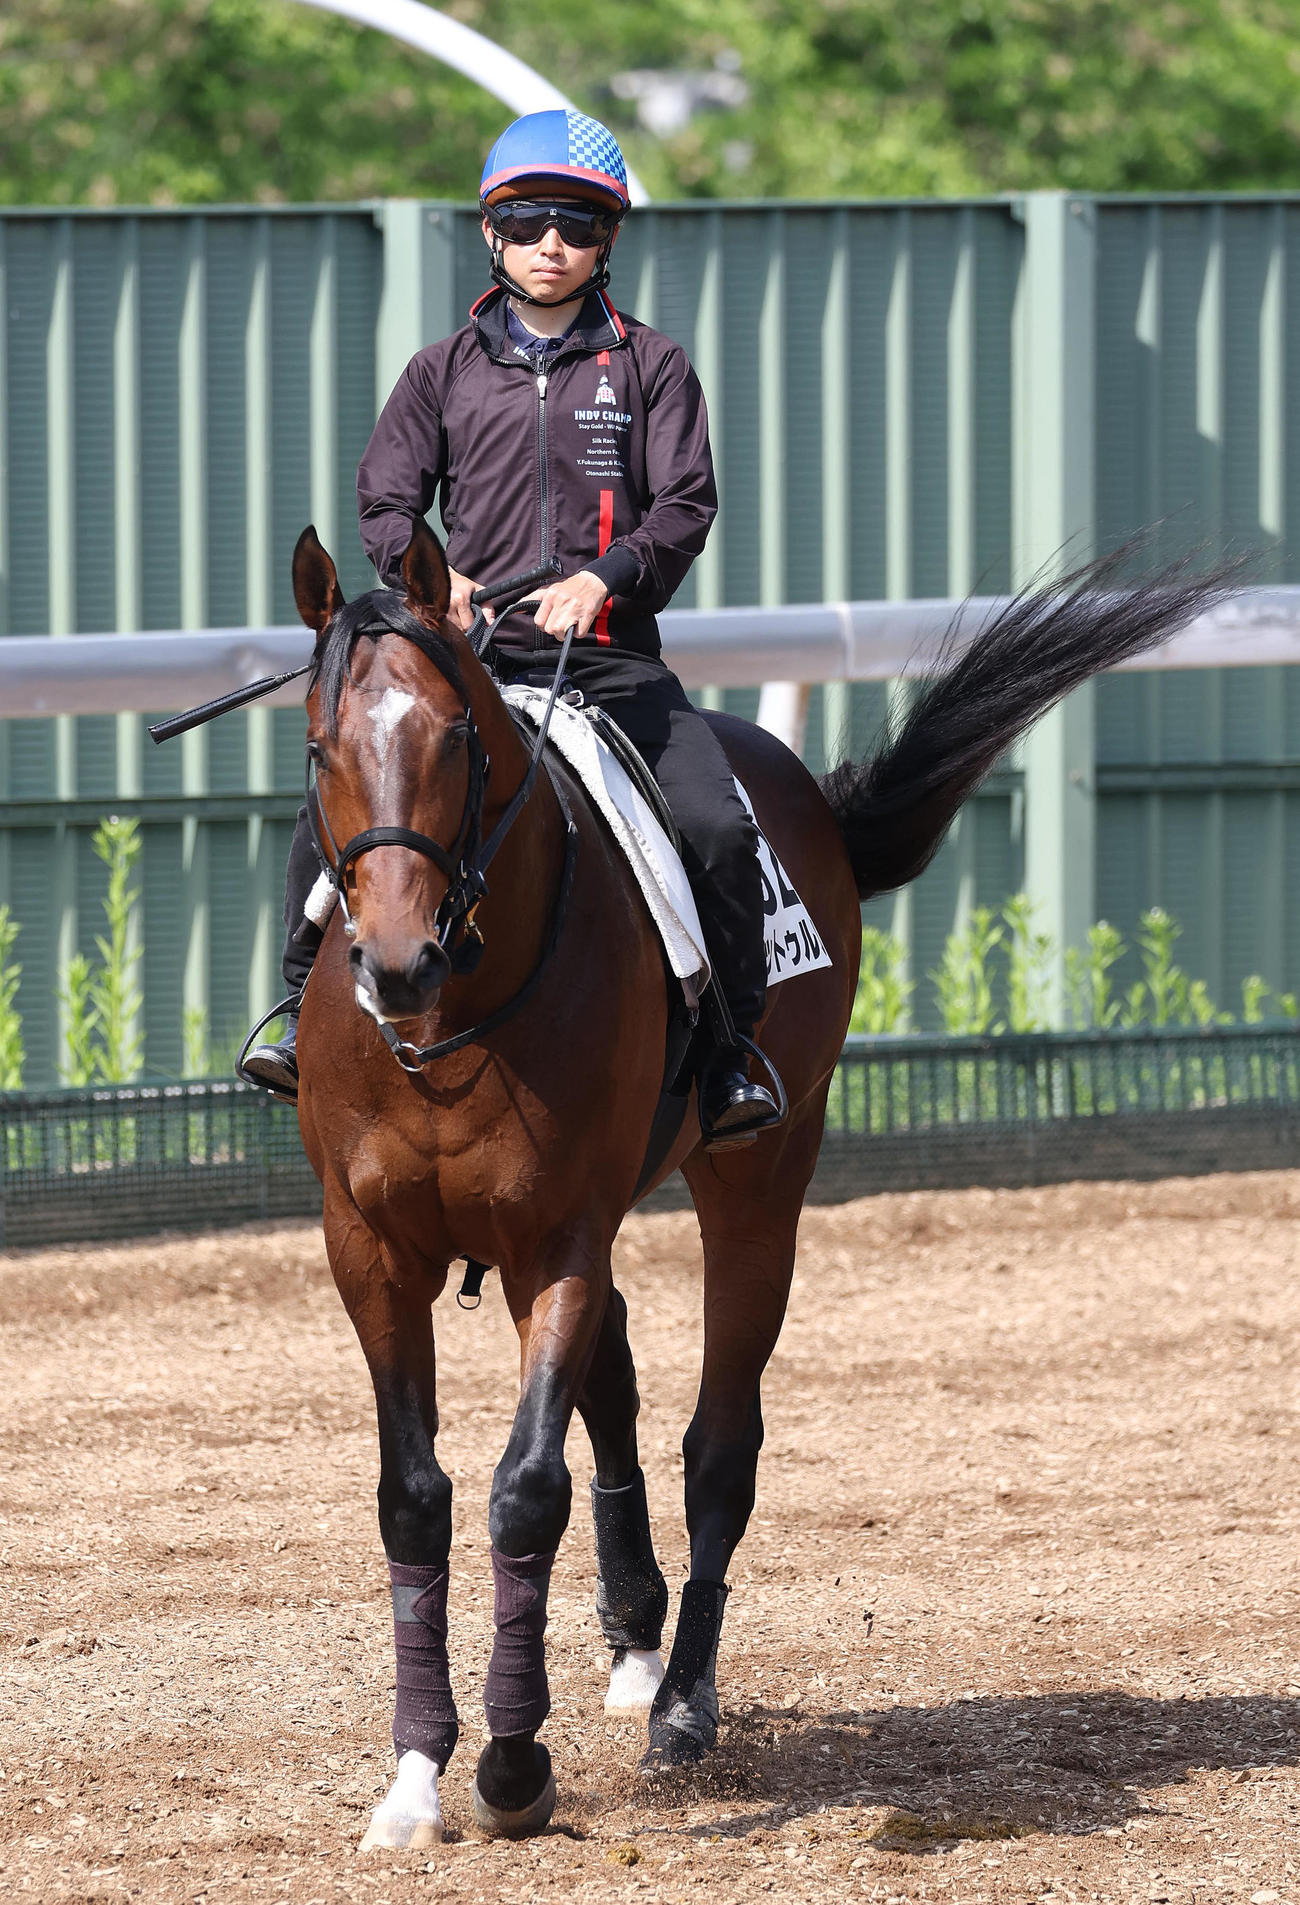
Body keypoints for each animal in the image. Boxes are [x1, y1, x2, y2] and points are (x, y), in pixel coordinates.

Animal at [287, 516, 1226, 1846]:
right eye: (323, 750)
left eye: (456, 740)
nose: (397, 962)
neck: (461, 1014)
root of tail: (810, 802)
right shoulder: (368, 1251)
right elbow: (414, 1496)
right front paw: (416, 1775)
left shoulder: (556, 1239)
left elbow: (527, 1489)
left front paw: (513, 1766)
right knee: (619, 1379)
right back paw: (634, 1640)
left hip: (759, 1181)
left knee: (716, 1443)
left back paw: (682, 1703)